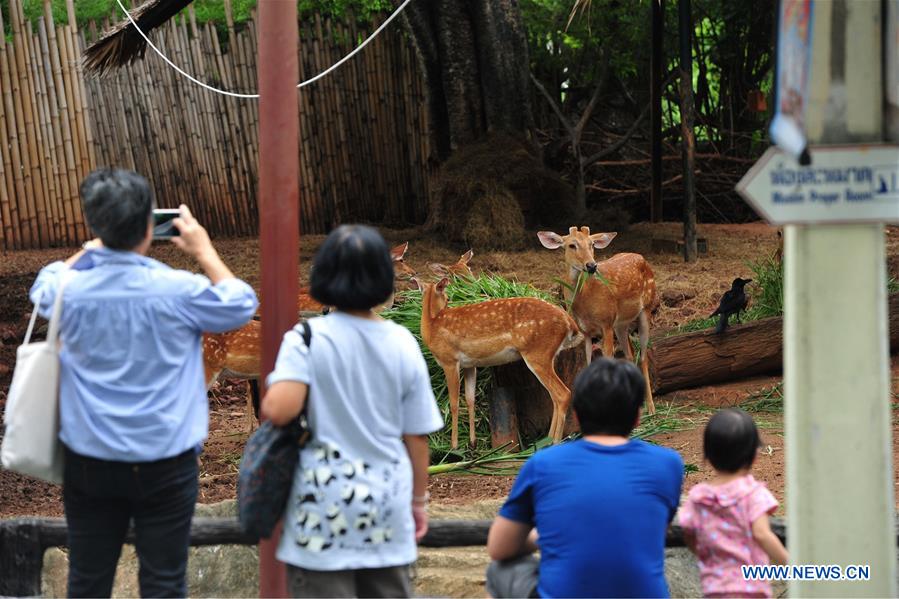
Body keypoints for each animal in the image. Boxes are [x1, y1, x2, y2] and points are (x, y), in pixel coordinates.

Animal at [420, 278, 584, 448]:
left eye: (447, 298)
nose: (447, 303)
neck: (432, 327)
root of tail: (570, 323)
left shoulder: (450, 361)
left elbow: (454, 403)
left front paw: (454, 446)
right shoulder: (470, 365)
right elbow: (470, 399)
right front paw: (472, 443)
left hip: (538, 353)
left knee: (563, 393)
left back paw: (555, 442)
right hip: (545, 355)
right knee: (555, 396)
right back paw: (547, 440)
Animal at [536, 227, 656, 414]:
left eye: (592, 244)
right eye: (571, 245)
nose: (591, 265)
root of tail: (642, 257)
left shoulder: (606, 323)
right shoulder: (586, 331)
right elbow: (588, 363)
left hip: (646, 309)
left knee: (643, 356)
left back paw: (651, 408)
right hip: (620, 324)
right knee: (630, 353)